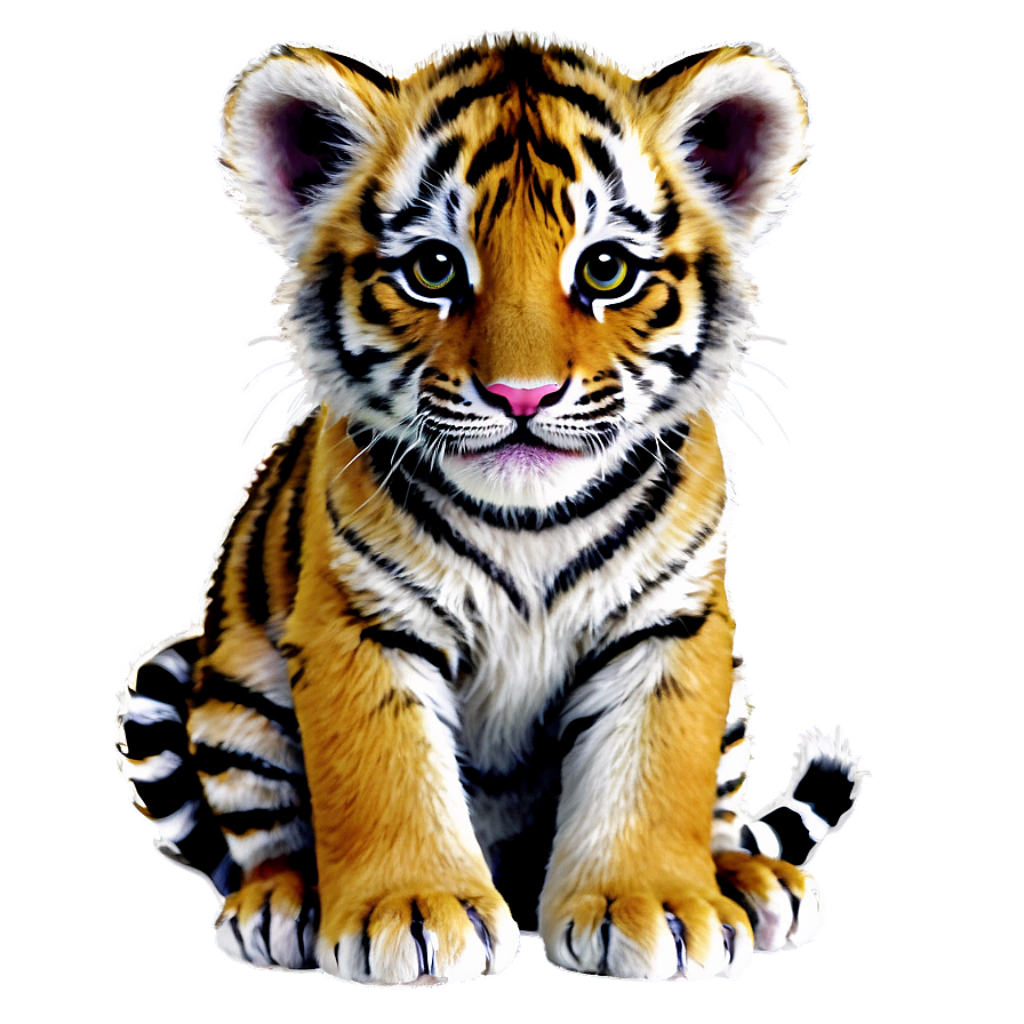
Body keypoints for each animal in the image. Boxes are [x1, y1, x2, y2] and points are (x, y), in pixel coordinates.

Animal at [115, 31, 870, 984]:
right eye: (434, 268)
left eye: (605, 269)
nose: (522, 395)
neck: (529, 526)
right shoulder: (361, 626)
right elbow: (387, 770)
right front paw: (410, 911)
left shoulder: (669, 629)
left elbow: (652, 773)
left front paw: (655, 905)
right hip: (233, 703)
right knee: (261, 834)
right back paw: (282, 903)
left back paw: (750, 881)